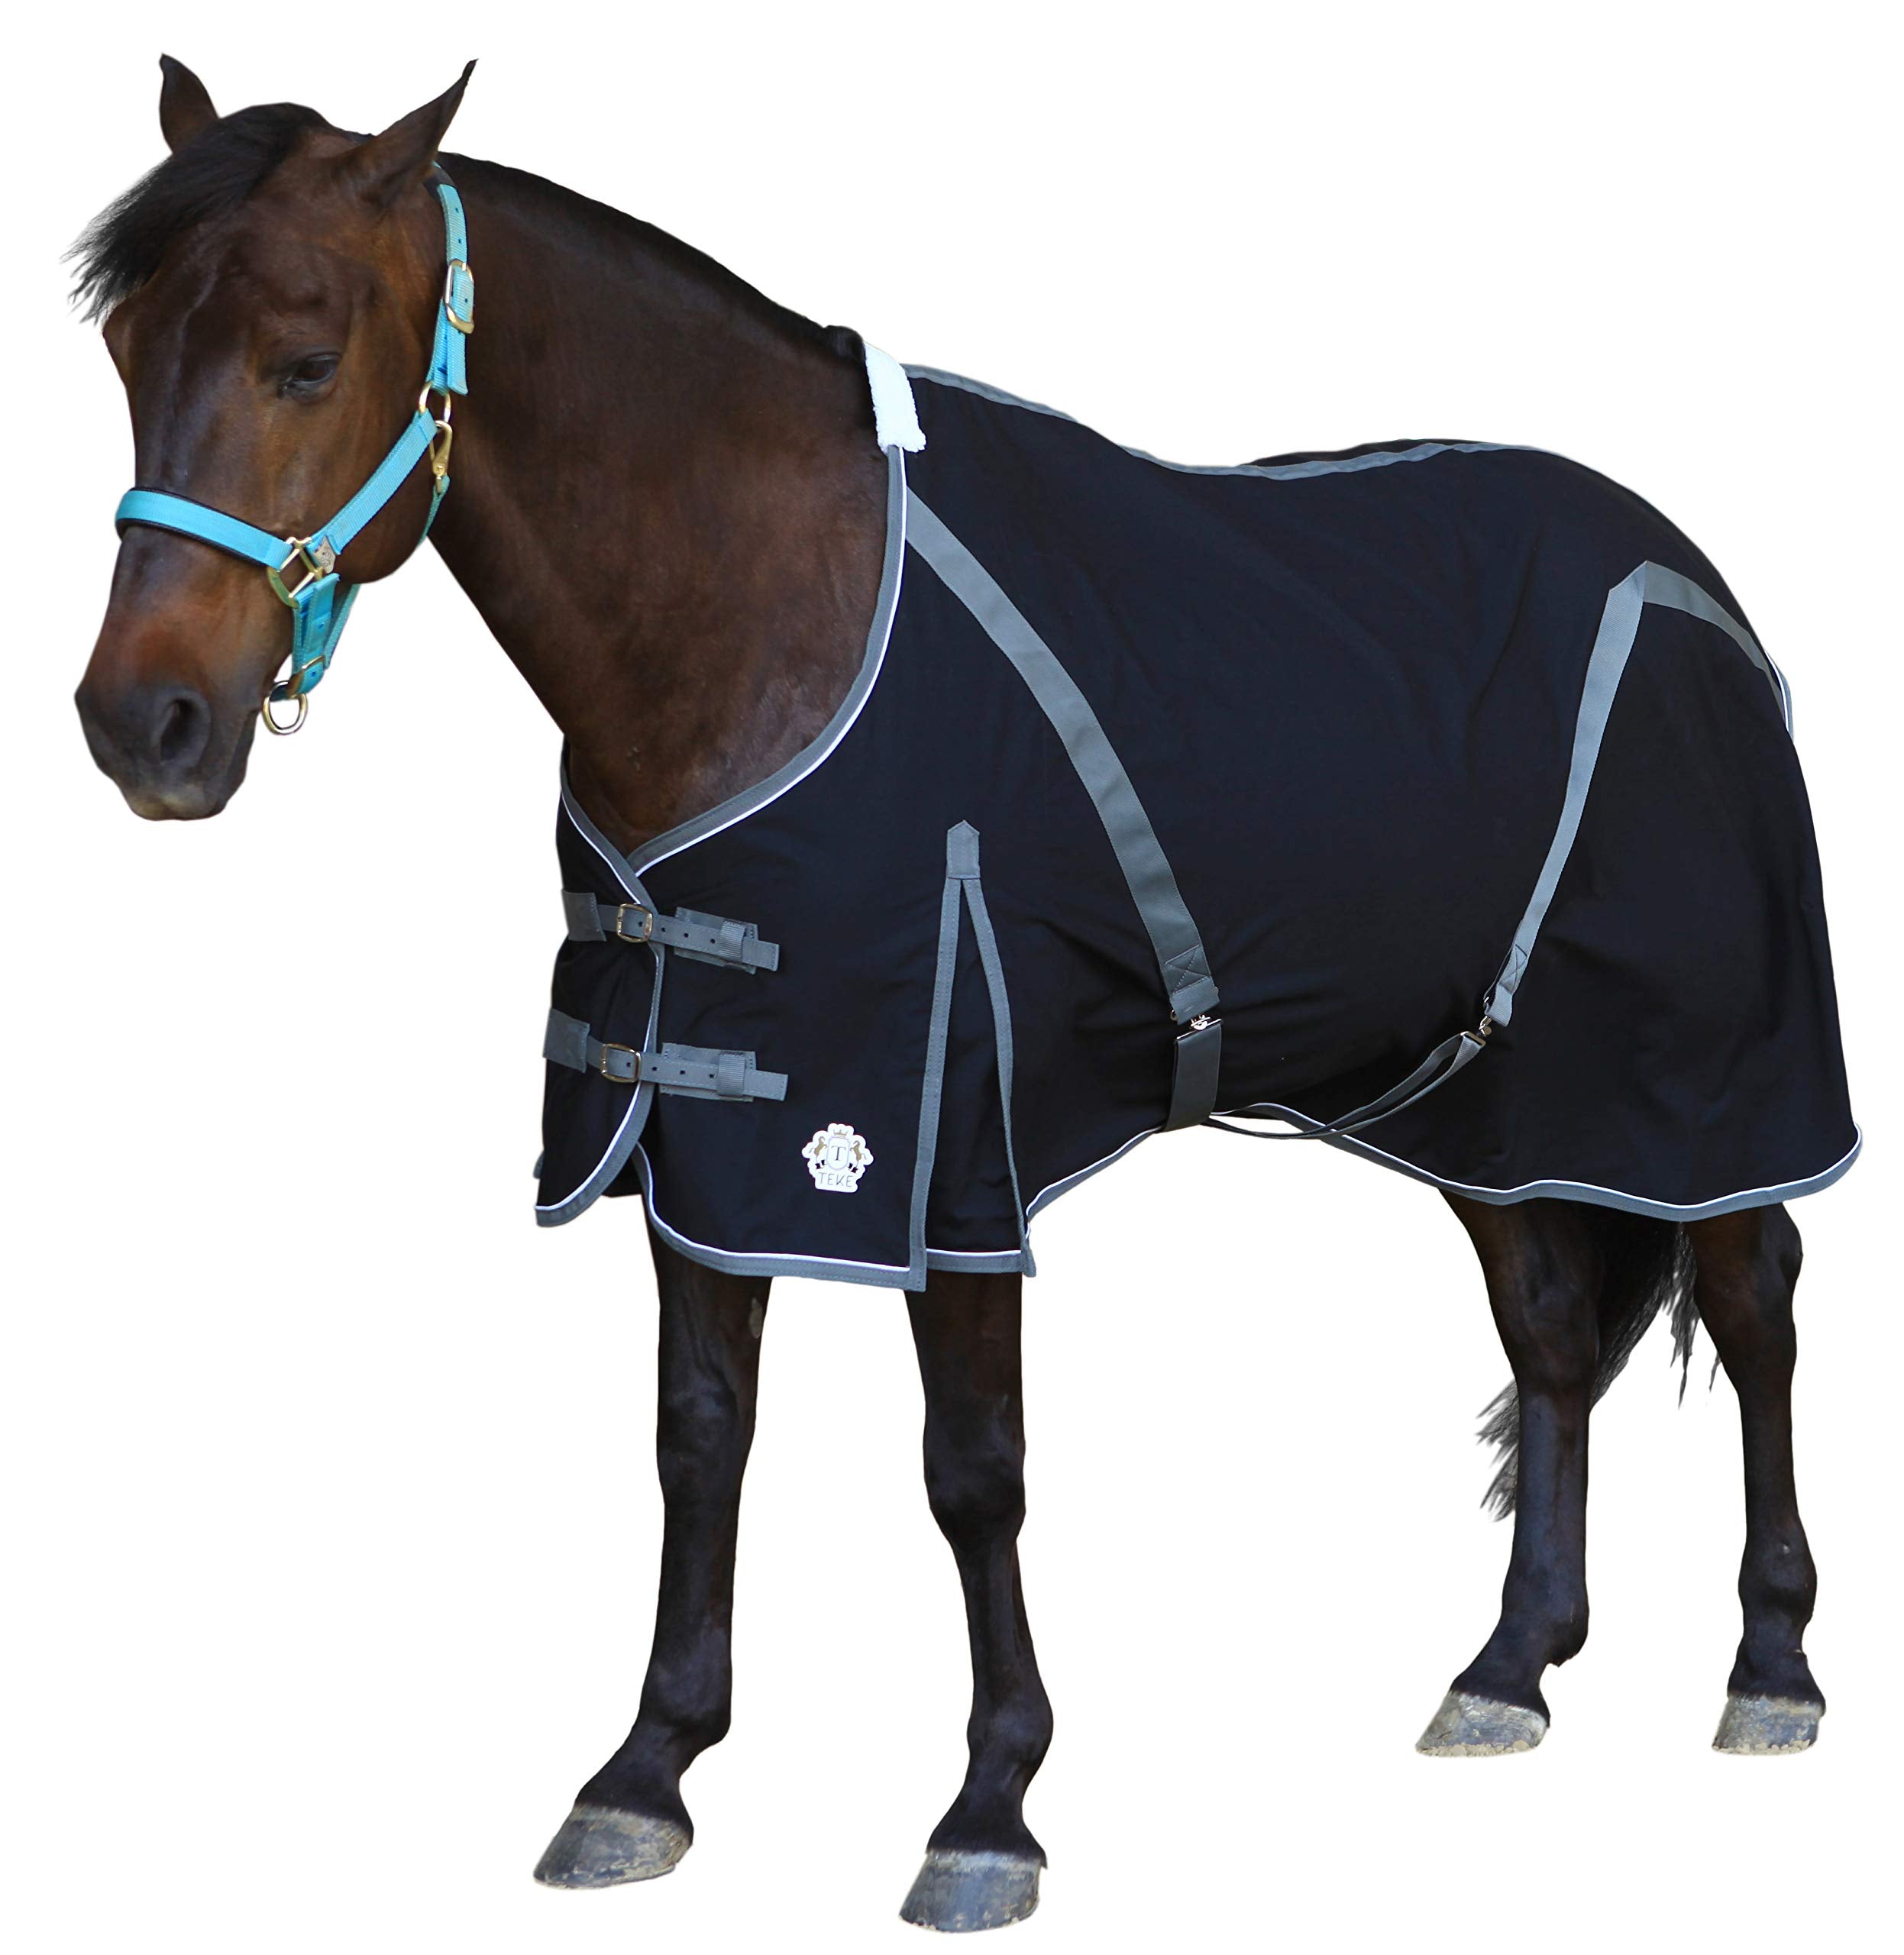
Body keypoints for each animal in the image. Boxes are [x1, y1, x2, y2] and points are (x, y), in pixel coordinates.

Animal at [71, 59, 1853, 1934]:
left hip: (1711, 1080)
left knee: (1755, 1313)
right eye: (122, 350)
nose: (144, 727)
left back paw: (1770, 1668)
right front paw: (644, 1772)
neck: (759, 620)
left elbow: (970, 1469)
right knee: (1552, 1331)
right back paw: (1507, 1669)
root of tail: (1688, 572)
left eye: (305, 358)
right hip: (1486, 1094)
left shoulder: (941, 1137)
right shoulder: (708, 1119)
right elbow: (699, 1438)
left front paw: (988, 1810)